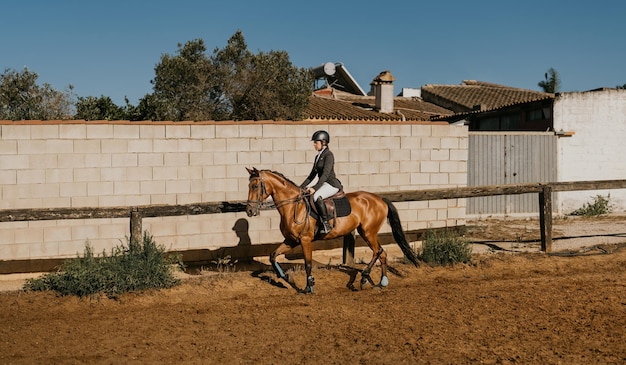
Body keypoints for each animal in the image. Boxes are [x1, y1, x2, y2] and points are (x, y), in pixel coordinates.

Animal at [246, 167, 416, 292]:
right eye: (249, 186)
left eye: (255, 186)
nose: (249, 211)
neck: (294, 206)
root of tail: (381, 200)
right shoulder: (291, 240)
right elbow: (273, 256)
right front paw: (287, 278)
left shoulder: (305, 240)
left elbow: (308, 264)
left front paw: (309, 287)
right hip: (367, 232)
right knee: (382, 253)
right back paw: (382, 282)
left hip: (368, 232)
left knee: (378, 251)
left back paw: (364, 278)